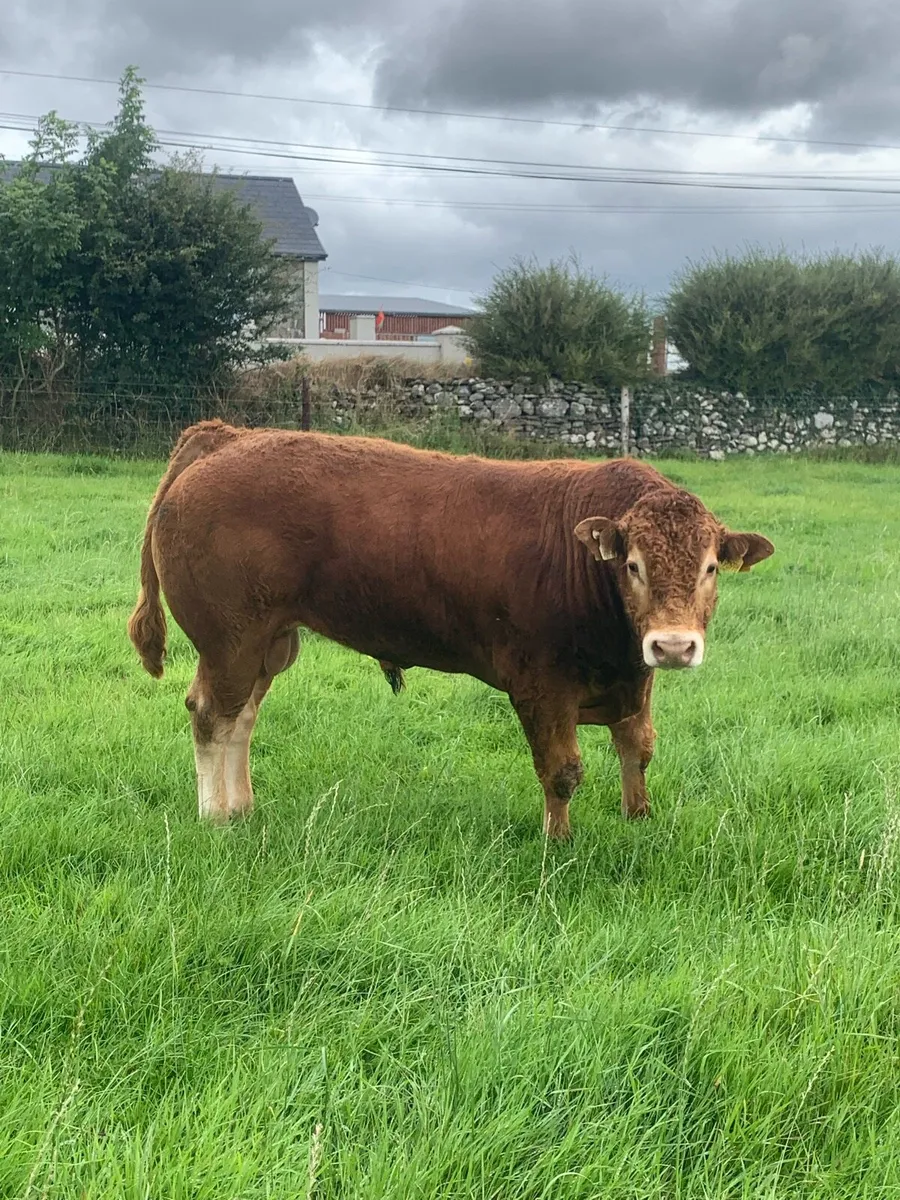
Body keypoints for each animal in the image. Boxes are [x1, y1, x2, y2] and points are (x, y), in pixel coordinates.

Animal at [128, 420, 773, 838]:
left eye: (710, 568)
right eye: (633, 565)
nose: (673, 645)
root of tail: (227, 436)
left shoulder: (632, 678)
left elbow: (637, 749)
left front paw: (638, 822)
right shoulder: (540, 686)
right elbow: (562, 770)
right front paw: (559, 842)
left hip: (269, 642)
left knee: (241, 717)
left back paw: (242, 807)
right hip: (230, 639)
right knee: (211, 715)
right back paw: (216, 816)